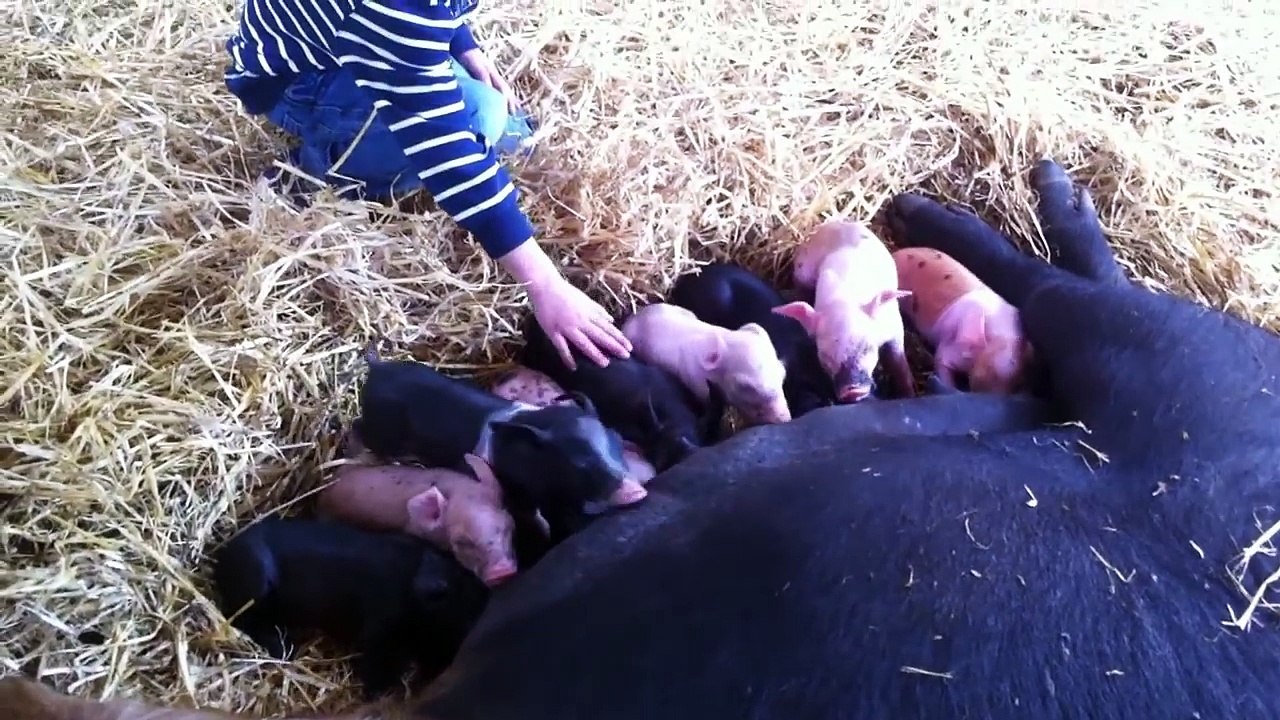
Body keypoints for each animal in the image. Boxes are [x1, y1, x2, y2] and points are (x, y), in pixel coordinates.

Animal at [211, 516, 487, 700]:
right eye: (462, 609)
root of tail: (220, 558)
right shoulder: (378, 625)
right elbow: (374, 660)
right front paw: (375, 694)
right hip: (255, 584)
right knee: (239, 618)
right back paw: (285, 647)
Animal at [773, 220, 915, 403]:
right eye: (825, 357)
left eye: (867, 347)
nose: (852, 391)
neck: (844, 300)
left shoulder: (894, 326)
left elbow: (898, 360)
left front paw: (908, 395)